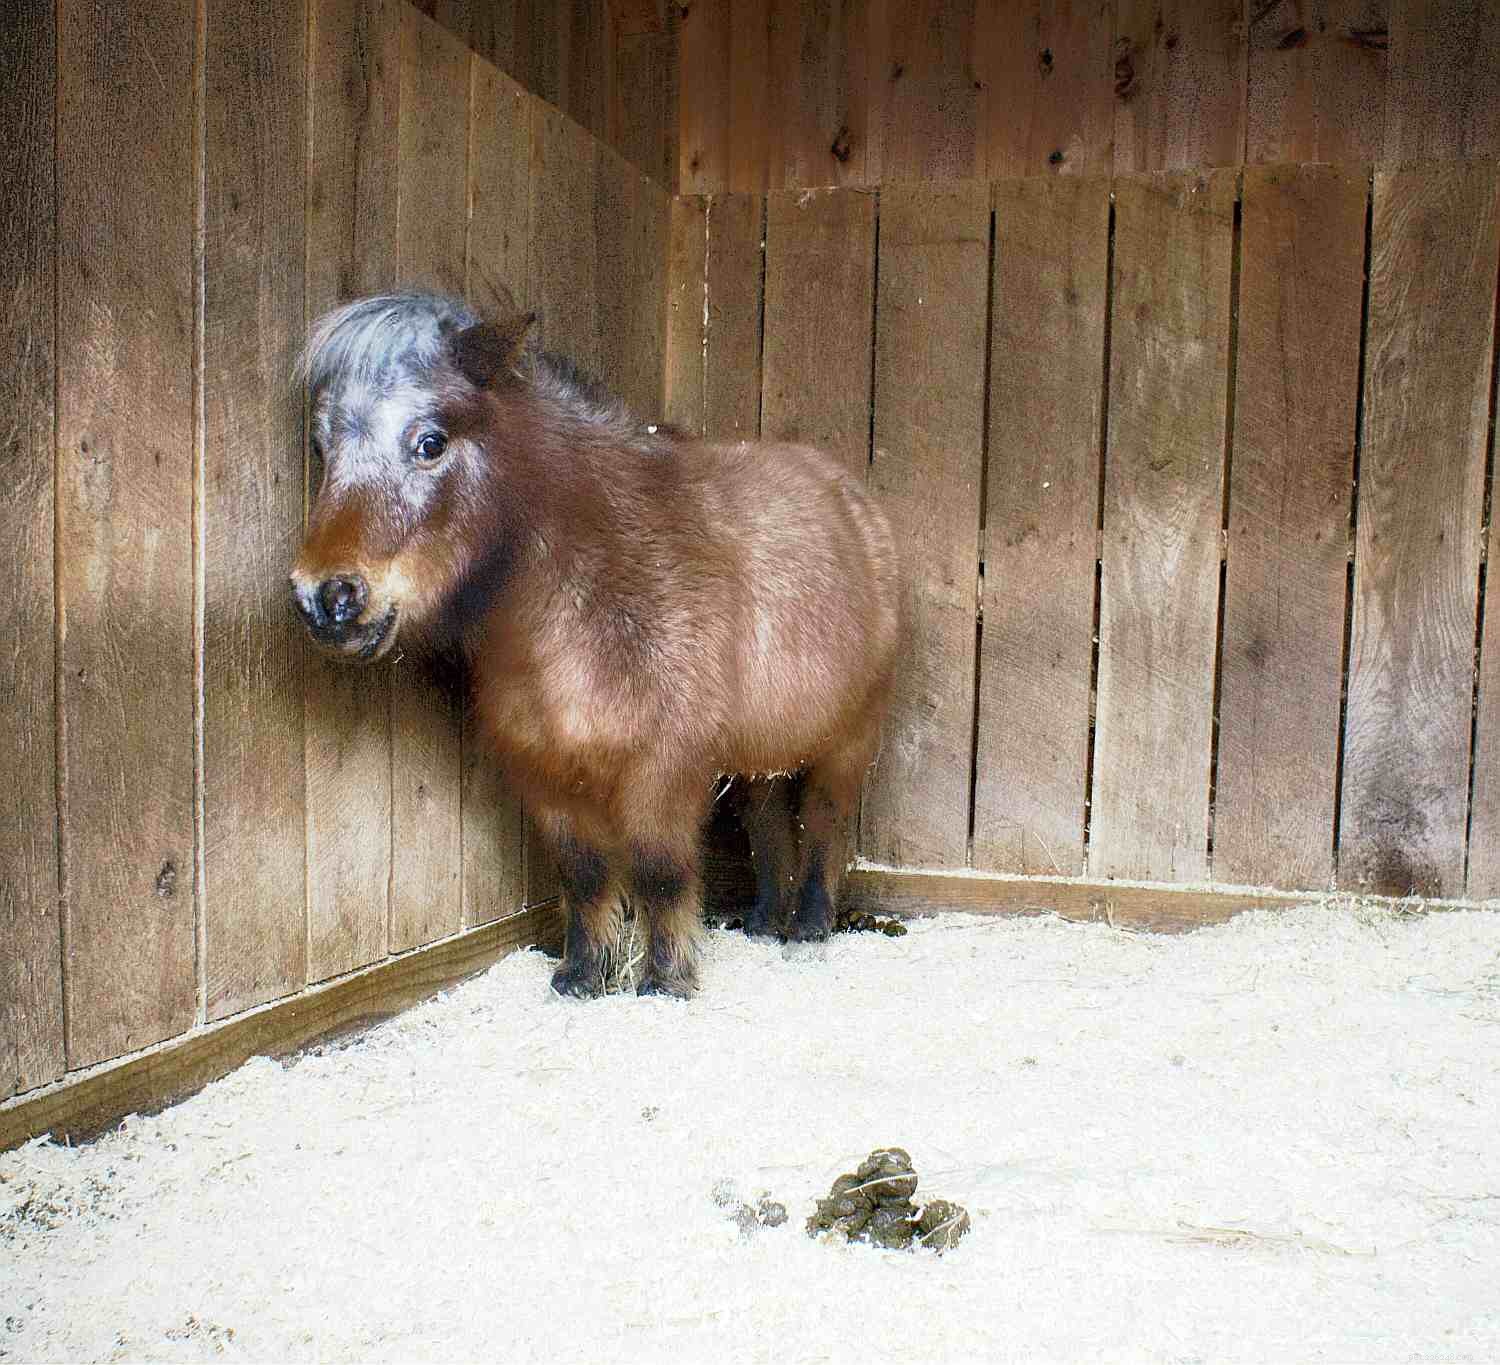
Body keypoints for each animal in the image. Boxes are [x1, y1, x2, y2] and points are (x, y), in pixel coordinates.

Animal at [290, 291, 901, 999]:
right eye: (322, 447)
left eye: (430, 442)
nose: (326, 599)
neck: (582, 608)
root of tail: (852, 497)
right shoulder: (546, 775)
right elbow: (582, 875)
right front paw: (582, 976)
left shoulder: (663, 771)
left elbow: (660, 872)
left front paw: (666, 981)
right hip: (762, 754)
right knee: (769, 824)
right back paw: (763, 921)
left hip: (849, 742)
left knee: (826, 823)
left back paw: (808, 926)